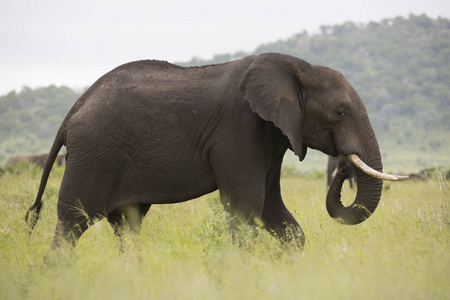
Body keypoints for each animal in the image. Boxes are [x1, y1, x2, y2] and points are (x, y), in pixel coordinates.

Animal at [25, 52, 408, 248]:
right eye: (340, 112)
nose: (343, 168)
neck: (298, 67)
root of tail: (75, 108)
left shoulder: (270, 137)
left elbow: (272, 209)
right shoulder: (240, 129)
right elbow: (246, 207)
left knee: (127, 223)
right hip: (95, 153)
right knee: (73, 221)